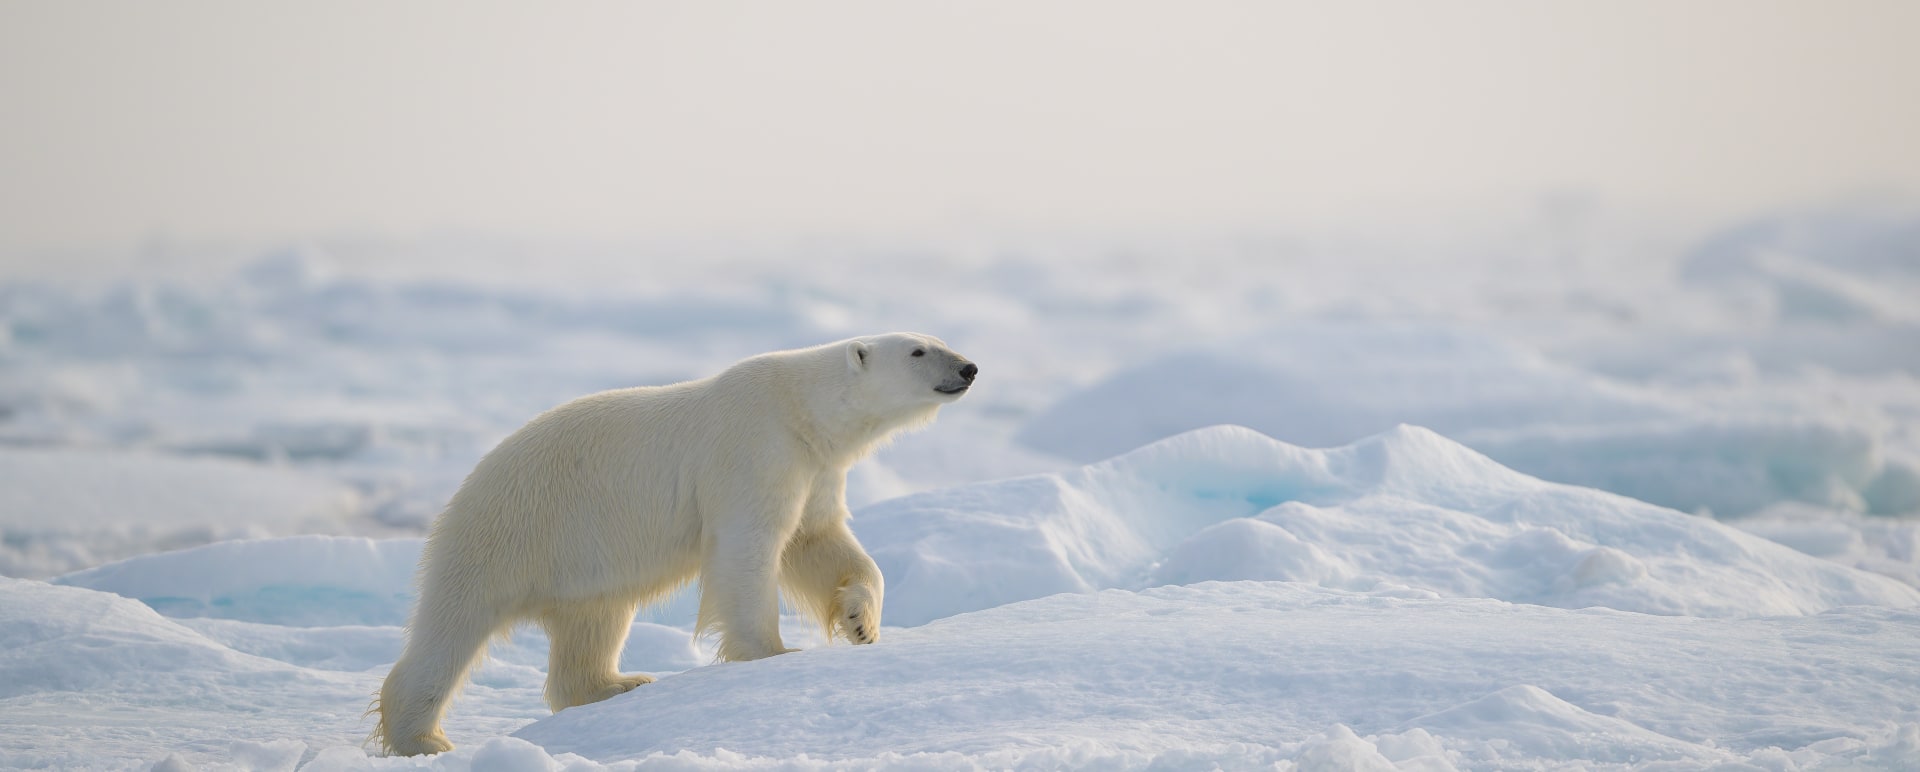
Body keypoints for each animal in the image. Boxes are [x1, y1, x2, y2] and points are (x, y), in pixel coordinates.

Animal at [372, 332, 977, 755]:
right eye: (919, 350)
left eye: (939, 340)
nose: (969, 367)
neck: (800, 409)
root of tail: (465, 489)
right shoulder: (754, 449)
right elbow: (750, 547)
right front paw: (774, 655)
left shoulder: (815, 468)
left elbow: (820, 541)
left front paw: (861, 622)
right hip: (510, 532)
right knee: (452, 629)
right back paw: (423, 738)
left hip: (583, 563)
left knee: (595, 623)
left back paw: (620, 683)